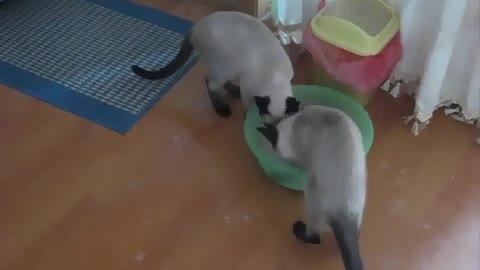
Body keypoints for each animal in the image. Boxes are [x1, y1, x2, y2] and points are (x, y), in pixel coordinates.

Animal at [129, 11, 298, 122]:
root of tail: (194, 27)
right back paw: (222, 108)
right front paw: (246, 119)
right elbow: (247, 107)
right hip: (225, 66)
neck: (275, 77)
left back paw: (233, 92)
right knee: (210, 83)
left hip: (229, 68)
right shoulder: (248, 88)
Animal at [256, 105, 366, 270]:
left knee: (314, 237)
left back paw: (298, 229)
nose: (270, 150)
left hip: (311, 192)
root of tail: (343, 217)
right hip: (357, 210)